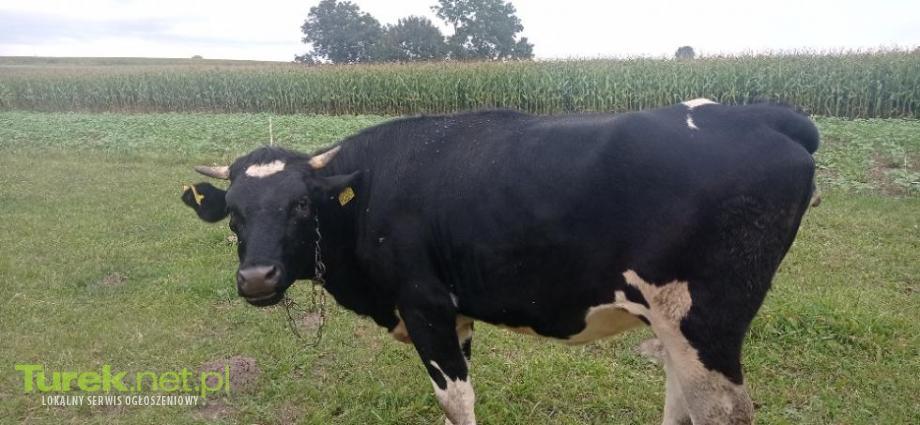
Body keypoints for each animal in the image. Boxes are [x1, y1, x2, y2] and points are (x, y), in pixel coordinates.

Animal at [181, 99, 818, 425]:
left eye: (298, 205)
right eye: (234, 212)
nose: (256, 278)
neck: (369, 192)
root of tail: (764, 114)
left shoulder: (424, 303)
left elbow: (455, 398)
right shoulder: (455, 312)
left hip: (703, 319)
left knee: (719, 409)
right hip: (673, 321)